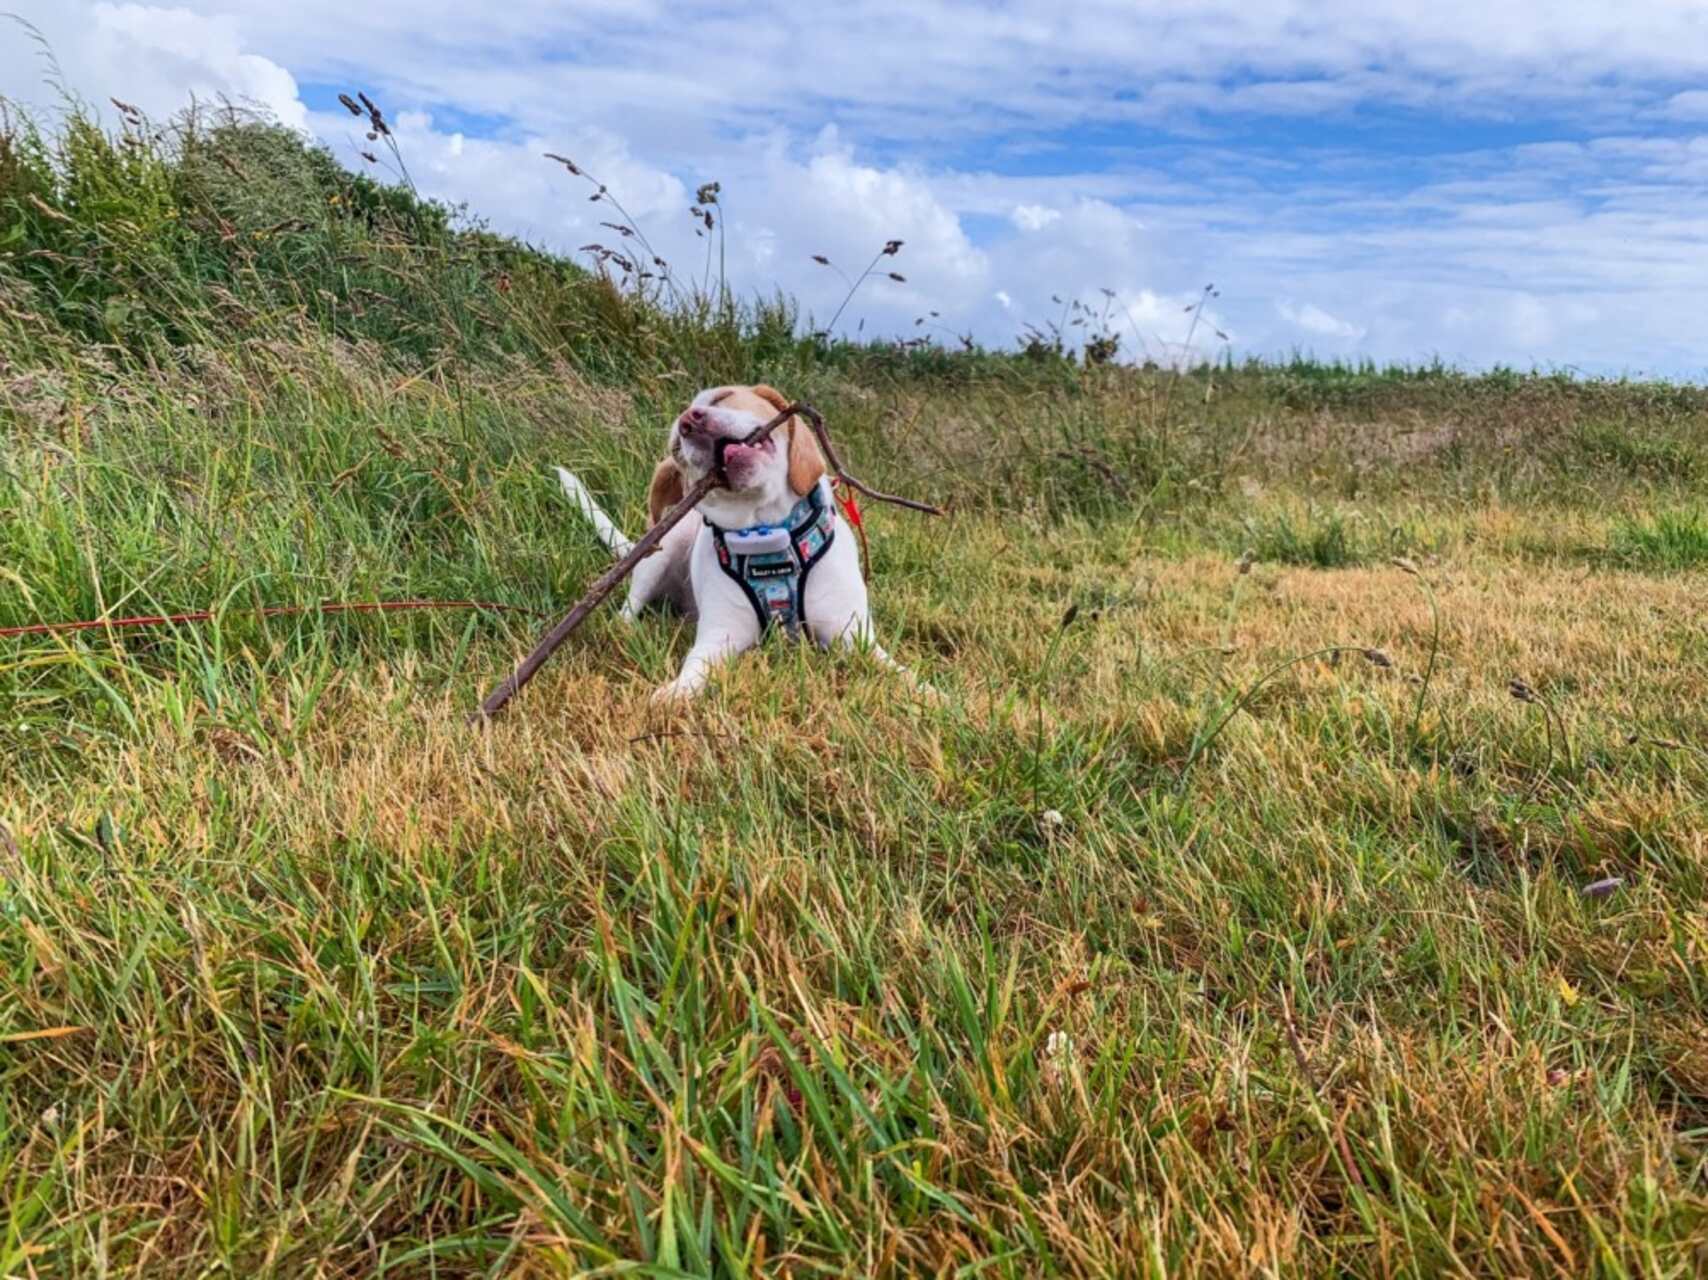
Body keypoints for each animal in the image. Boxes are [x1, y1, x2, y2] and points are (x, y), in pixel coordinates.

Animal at [553, 382, 915, 700]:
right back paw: (623, 630)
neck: (768, 536)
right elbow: (694, 670)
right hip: (662, 549)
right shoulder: (719, 637)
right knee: (630, 605)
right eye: (676, 448)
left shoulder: (852, 637)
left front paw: (926, 695)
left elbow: (897, 673)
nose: (689, 421)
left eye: (723, 397)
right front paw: (672, 695)